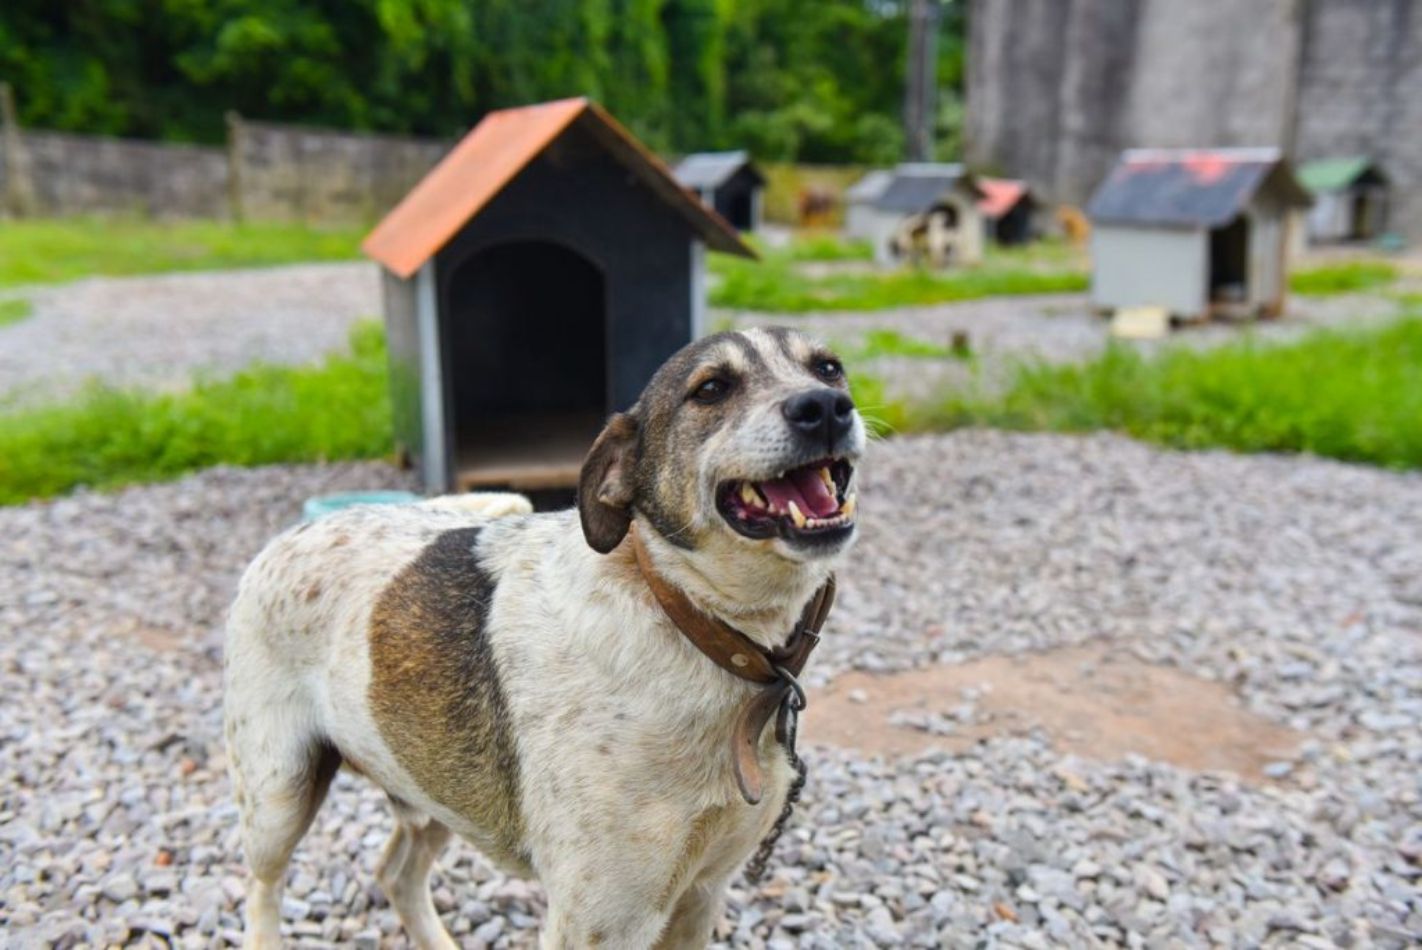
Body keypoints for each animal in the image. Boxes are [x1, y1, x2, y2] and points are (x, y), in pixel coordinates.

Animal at [221, 324, 864, 944]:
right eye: (710, 389)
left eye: (829, 367)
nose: (826, 407)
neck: (694, 621)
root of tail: (291, 534)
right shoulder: (600, 919)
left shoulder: (701, 895)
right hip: (279, 796)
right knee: (260, 890)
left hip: (434, 782)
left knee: (395, 872)